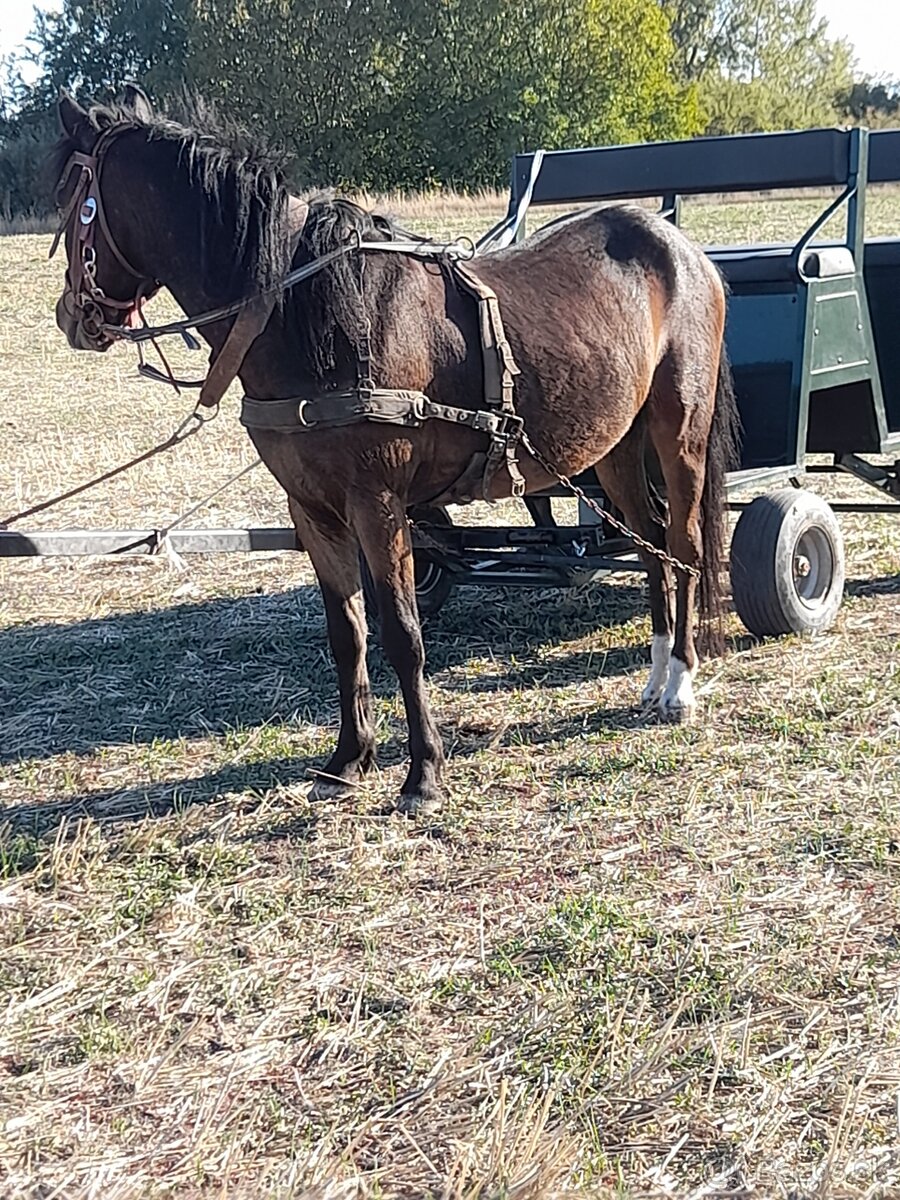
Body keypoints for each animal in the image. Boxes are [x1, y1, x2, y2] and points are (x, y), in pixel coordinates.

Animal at [51, 88, 739, 816]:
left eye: (70, 196)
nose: (72, 316)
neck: (304, 312)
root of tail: (680, 247)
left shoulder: (378, 503)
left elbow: (403, 635)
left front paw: (423, 775)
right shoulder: (312, 510)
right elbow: (347, 632)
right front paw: (347, 760)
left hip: (679, 433)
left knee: (686, 543)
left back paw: (681, 680)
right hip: (613, 448)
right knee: (650, 544)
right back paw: (656, 672)